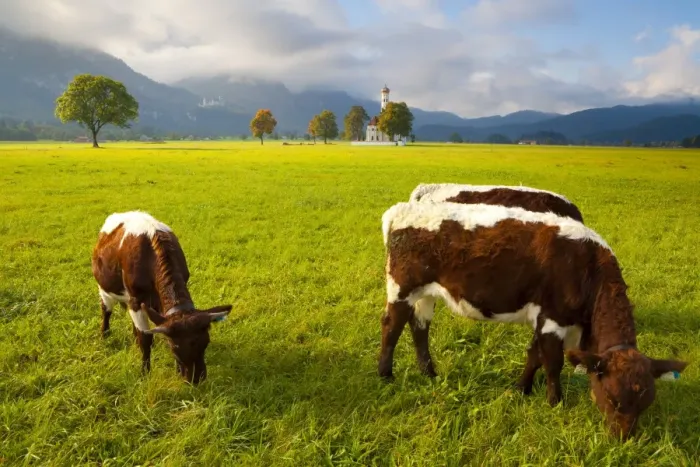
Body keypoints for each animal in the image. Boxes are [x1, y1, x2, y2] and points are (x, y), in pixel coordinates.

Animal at [91, 211, 232, 384]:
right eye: (174, 347)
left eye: (206, 342)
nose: (195, 379)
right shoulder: (136, 300)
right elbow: (146, 339)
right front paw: (145, 373)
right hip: (104, 288)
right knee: (106, 310)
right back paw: (105, 334)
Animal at [379, 201, 687, 438]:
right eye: (612, 398)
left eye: (646, 402)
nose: (624, 438)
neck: (588, 267)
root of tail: (402, 209)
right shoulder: (553, 318)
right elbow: (552, 362)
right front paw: (555, 402)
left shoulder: (546, 319)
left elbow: (534, 355)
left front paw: (521, 389)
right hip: (401, 287)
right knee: (392, 327)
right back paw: (385, 374)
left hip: (426, 293)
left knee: (419, 326)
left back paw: (428, 372)